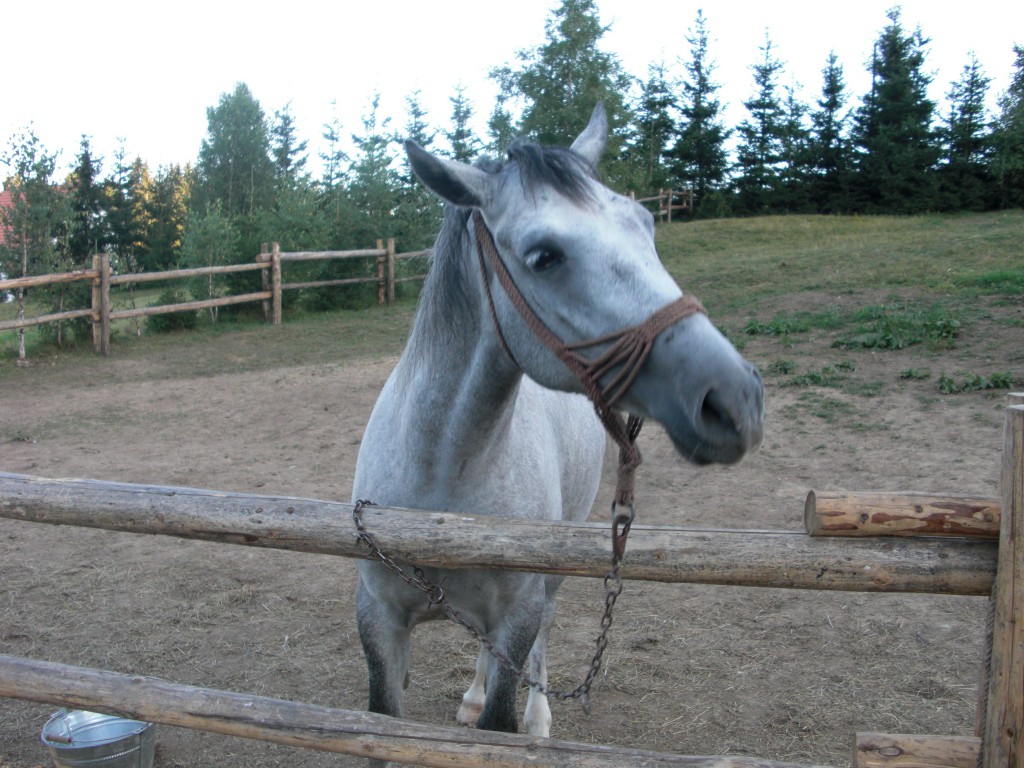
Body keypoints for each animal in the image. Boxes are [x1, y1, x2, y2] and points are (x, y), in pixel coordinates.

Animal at [352, 103, 761, 753]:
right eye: (544, 256)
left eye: (646, 223)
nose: (735, 398)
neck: (439, 480)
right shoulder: (378, 622)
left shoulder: (517, 612)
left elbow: (502, 715)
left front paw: (522, 717)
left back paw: (539, 715)